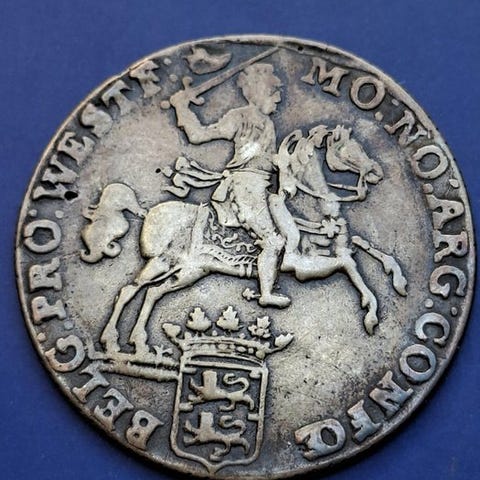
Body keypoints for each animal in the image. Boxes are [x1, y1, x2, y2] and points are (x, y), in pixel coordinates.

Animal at [82, 125, 407, 356]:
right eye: (347, 149)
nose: (376, 172)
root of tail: (150, 211)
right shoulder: (301, 264)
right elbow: (348, 265)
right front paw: (370, 312)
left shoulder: (339, 246)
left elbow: (363, 250)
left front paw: (396, 280)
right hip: (164, 262)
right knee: (128, 290)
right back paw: (112, 342)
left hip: (190, 271)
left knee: (152, 293)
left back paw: (139, 343)